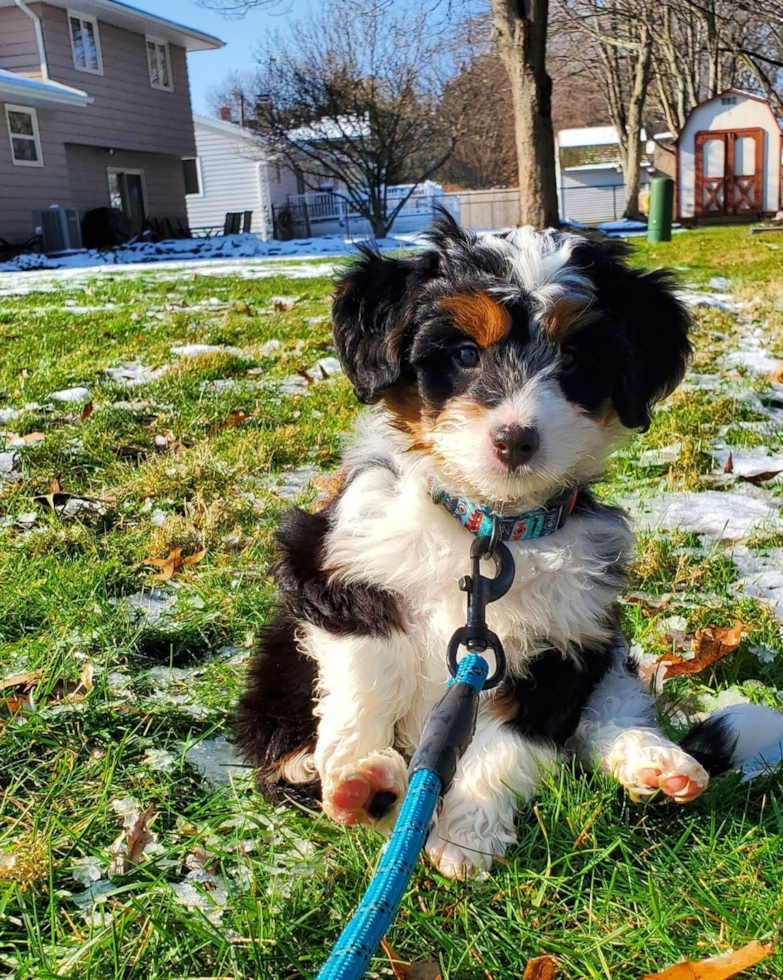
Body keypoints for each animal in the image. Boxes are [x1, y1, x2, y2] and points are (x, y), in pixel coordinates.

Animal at [237, 216, 783, 880]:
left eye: (573, 358)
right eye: (465, 354)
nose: (515, 439)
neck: (490, 527)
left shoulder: (566, 638)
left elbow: (508, 741)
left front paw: (467, 834)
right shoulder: (332, 565)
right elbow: (371, 663)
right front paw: (360, 775)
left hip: (608, 650)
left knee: (607, 714)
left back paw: (657, 762)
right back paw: (335, 778)